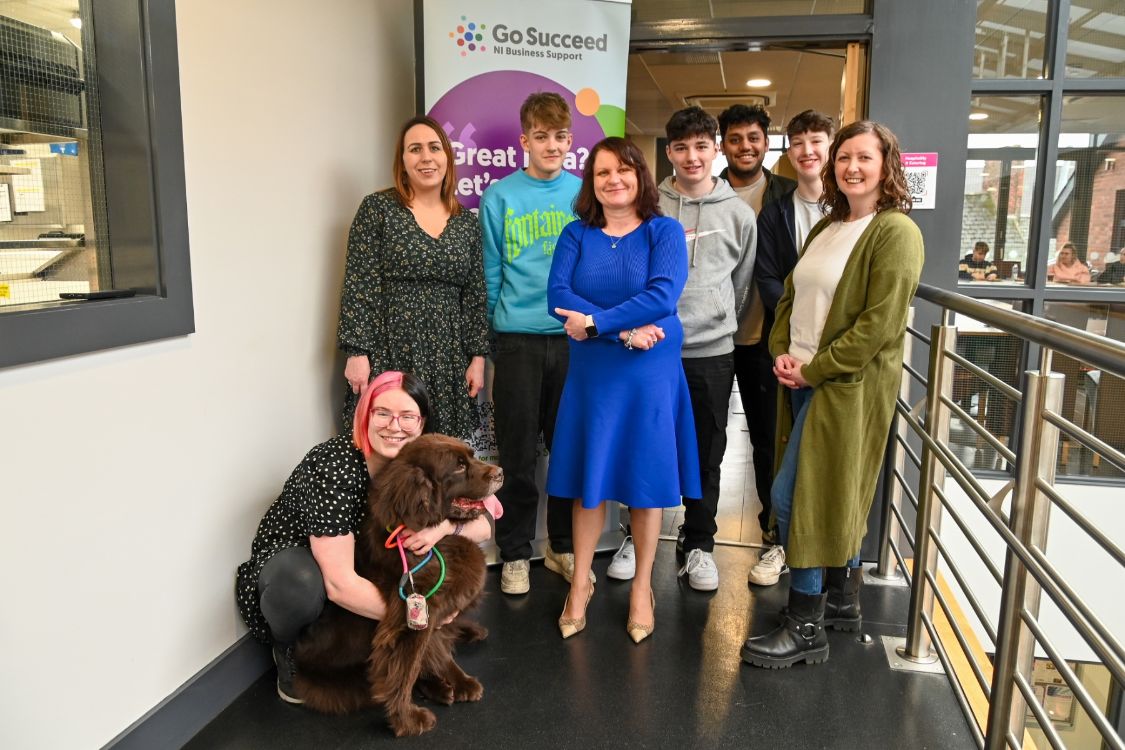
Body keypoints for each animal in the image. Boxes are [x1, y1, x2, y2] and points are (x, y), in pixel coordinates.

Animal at [290, 436, 501, 737]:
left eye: (472, 456)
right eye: (459, 467)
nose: (500, 472)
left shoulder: (431, 612)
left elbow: (436, 650)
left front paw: (461, 681)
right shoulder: (414, 613)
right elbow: (406, 669)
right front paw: (408, 719)